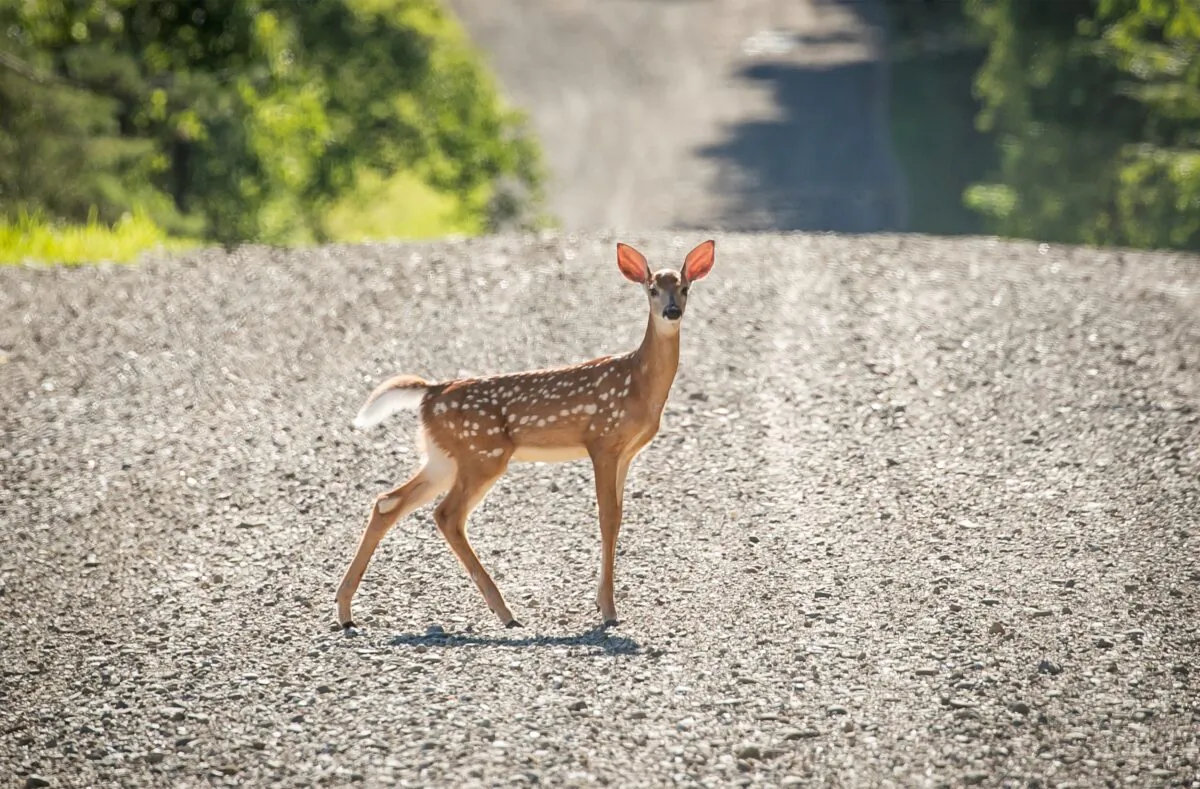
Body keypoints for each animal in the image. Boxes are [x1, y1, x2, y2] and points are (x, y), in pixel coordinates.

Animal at [337, 239, 716, 633]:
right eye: (651, 289)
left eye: (685, 288)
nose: (672, 311)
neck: (638, 383)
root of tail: (430, 392)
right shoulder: (601, 441)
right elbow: (607, 518)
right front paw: (609, 610)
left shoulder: (626, 452)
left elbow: (619, 516)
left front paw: (602, 602)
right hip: (482, 454)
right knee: (446, 514)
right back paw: (505, 612)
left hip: (443, 457)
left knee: (388, 502)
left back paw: (345, 611)